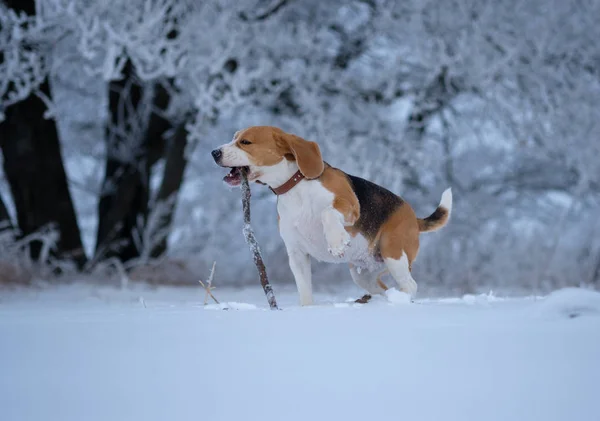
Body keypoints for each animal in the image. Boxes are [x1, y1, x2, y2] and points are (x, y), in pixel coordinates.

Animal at [211, 125, 450, 306]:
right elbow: (304, 290)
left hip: (394, 254)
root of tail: (413, 216)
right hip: (363, 274)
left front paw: (336, 241)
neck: (295, 187)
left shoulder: (349, 205)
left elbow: (327, 212)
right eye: (234, 138)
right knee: (383, 289)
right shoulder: (297, 253)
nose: (214, 152)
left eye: (245, 142)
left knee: (410, 285)